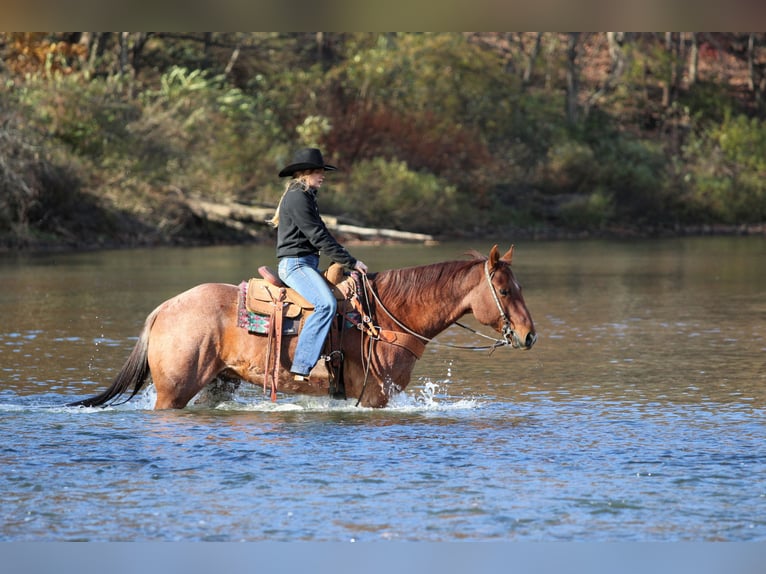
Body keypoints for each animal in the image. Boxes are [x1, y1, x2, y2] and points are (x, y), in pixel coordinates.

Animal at [68, 244, 536, 409]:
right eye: (504, 289)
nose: (529, 335)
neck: (386, 319)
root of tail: (164, 308)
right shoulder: (375, 397)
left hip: (218, 383)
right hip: (174, 391)